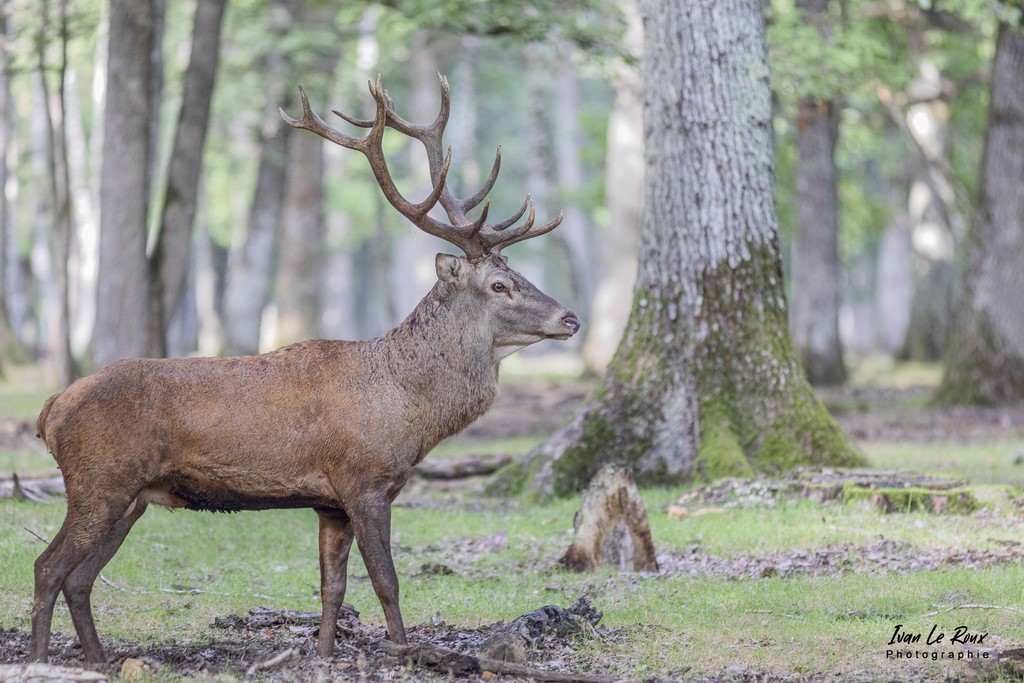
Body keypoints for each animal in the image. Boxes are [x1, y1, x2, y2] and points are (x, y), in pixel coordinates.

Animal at [29, 74, 580, 664]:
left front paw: (322, 652)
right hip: (98, 481)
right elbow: (387, 581)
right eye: (499, 285)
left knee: (79, 577)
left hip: (130, 496)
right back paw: (40, 659)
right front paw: (404, 650)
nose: (570, 317)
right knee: (48, 567)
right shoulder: (364, 482)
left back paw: (99, 659)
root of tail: (50, 409)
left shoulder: (329, 503)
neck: (409, 411)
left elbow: (331, 587)